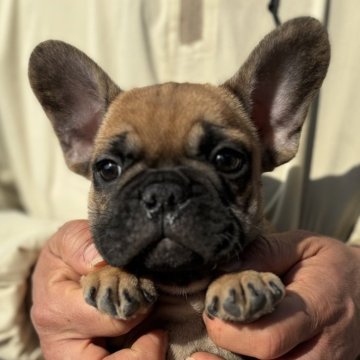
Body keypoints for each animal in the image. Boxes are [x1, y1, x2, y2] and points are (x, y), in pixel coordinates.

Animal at [29, 16, 330, 360]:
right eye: (107, 169)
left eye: (228, 159)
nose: (163, 194)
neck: (185, 295)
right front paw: (114, 275)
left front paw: (240, 278)